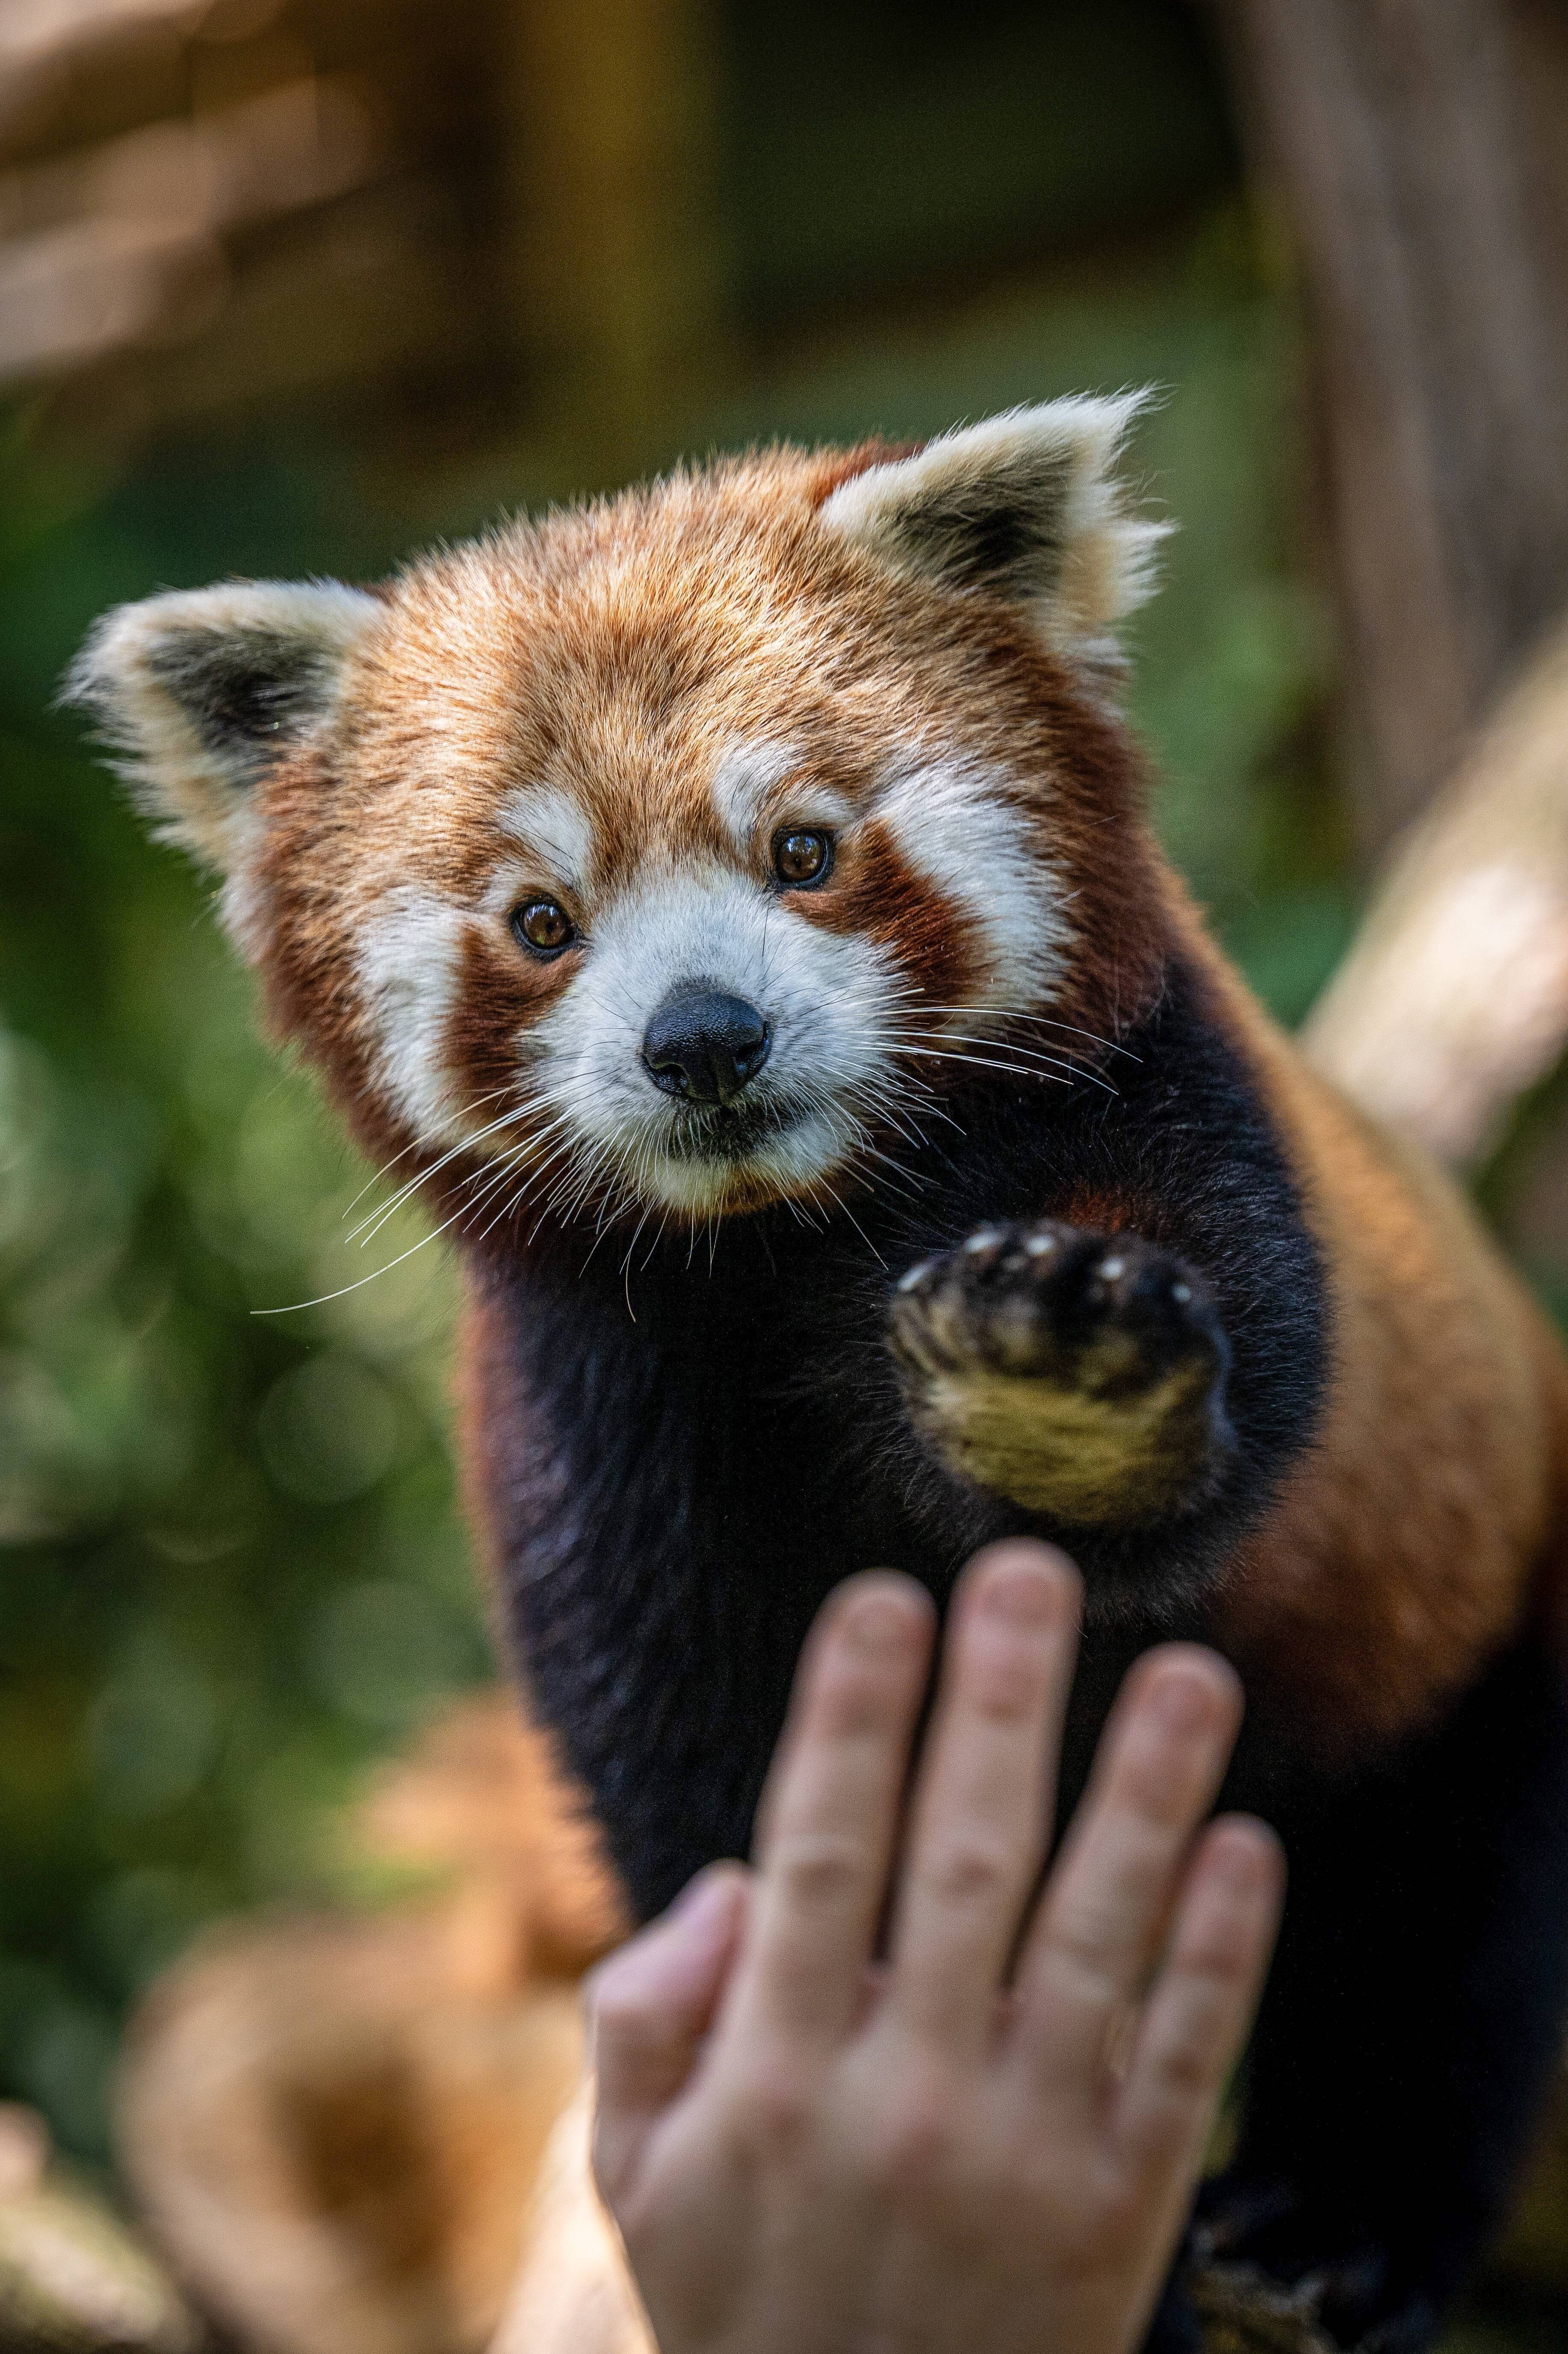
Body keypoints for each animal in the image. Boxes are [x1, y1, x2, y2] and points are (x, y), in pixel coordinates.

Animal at [73, 405, 1568, 2354]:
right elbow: (693, 1759)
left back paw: (1330, 2227)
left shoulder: (1182, 1116)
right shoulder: (603, 1408)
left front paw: (1061, 1376)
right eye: (540, 919)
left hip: (1473, 1593)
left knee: (1440, 1930)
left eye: (800, 847)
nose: (701, 1036)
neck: (791, 1248)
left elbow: (1210, 1378)